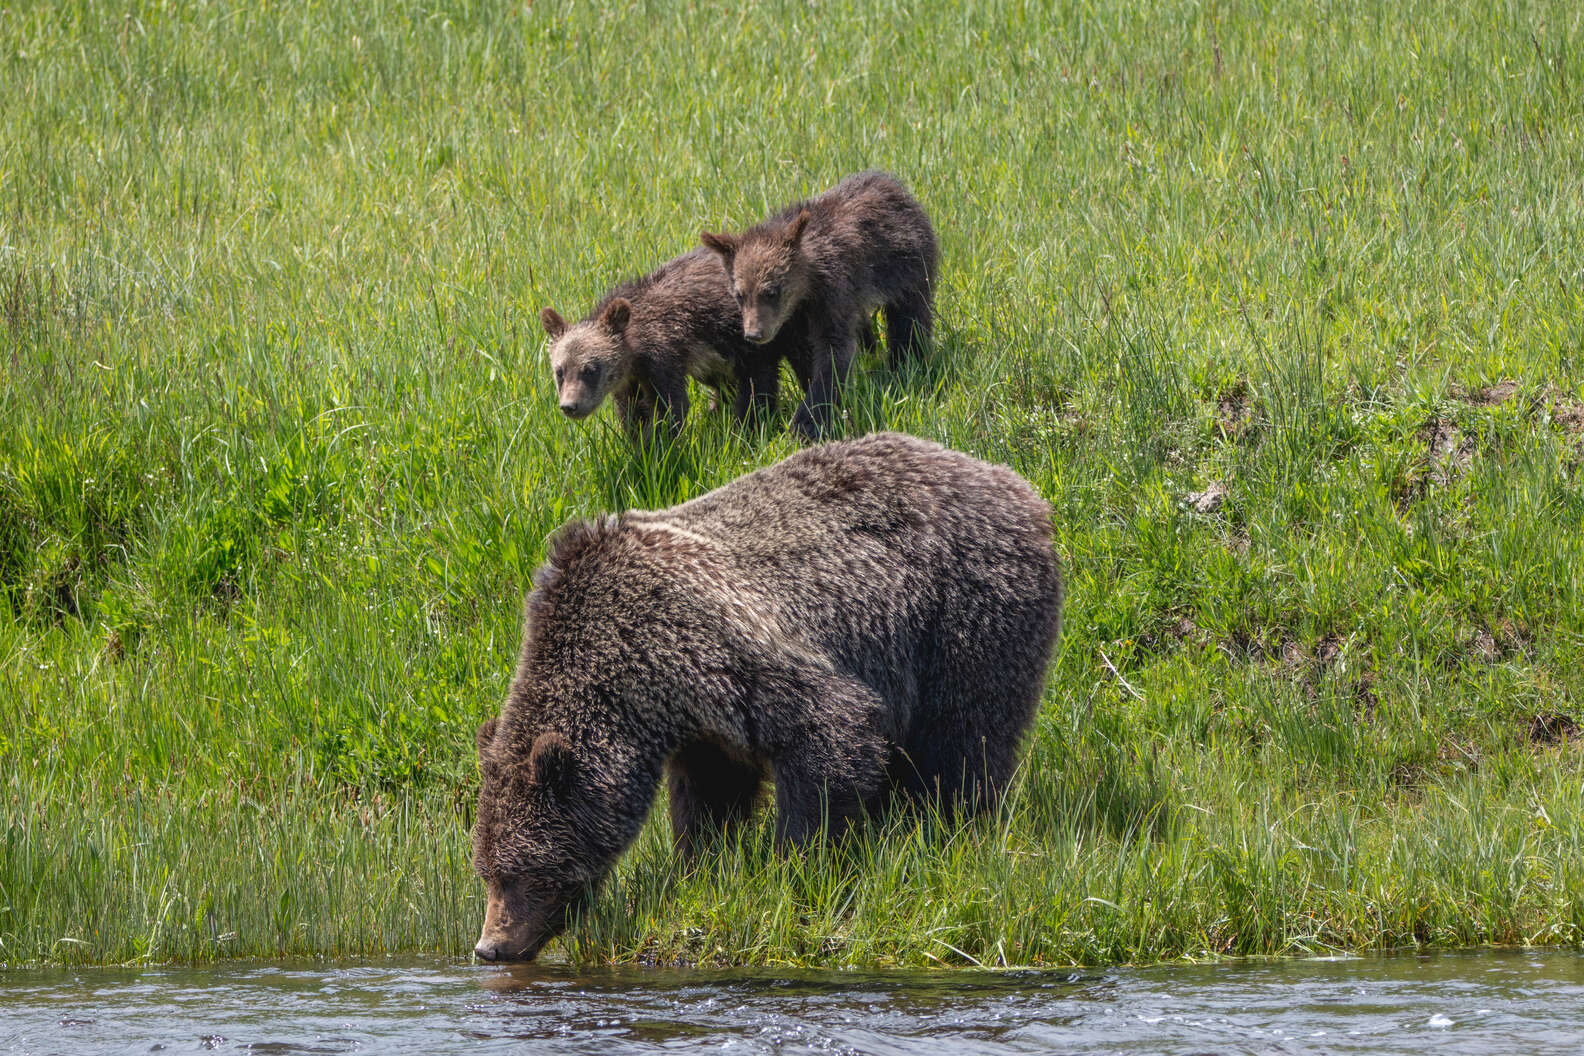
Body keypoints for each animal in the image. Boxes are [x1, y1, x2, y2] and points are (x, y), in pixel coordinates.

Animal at [468, 433, 1064, 962]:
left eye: (523, 873)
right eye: (484, 870)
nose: (490, 947)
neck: (635, 684)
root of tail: (1017, 485)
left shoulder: (719, 647)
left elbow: (827, 737)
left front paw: (799, 868)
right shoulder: (701, 721)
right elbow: (712, 796)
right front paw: (703, 868)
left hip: (961, 612)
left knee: (963, 741)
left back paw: (952, 827)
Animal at [541, 248, 804, 436]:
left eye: (590, 369)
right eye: (560, 371)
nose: (570, 405)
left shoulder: (664, 355)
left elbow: (669, 407)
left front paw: (656, 451)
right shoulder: (630, 379)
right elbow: (632, 412)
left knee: (759, 381)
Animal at [696, 170, 937, 443]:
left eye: (772, 291)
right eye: (739, 294)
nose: (754, 334)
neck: (805, 290)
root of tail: (892, 184)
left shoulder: (831, 297)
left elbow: (832, 352)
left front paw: (808, 421)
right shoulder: (791, 321)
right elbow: (799, 357)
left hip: (908, 267)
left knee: (909, 319)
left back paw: (907, 363)